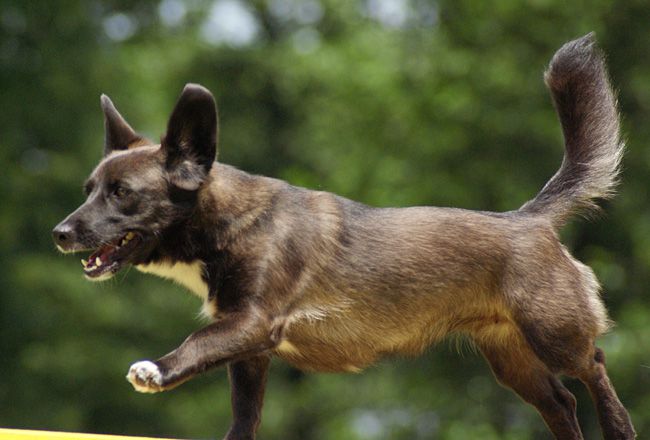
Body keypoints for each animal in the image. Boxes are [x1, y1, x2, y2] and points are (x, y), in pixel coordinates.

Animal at [54, 35, 632, 440]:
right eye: (88, 190)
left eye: (122, 194)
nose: (59, 233)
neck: (231, 221)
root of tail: (530, 219)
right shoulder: (249, 352)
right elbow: (245, 416)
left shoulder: (252, 324)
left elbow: (196, 345)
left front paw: (157, 368)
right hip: (512, 359)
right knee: (562, 403)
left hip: (553, 333)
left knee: (595, 366)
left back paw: (619, 424)